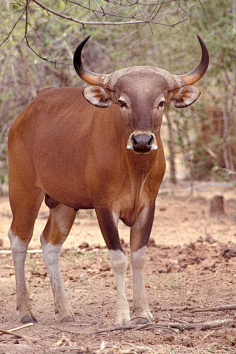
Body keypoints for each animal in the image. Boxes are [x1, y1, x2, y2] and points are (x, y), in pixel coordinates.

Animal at [8, 35, 209, 324]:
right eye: (123, 101)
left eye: (161, 102)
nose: (142, 141)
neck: (134, 172)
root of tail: (23, 116)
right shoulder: (104, 206)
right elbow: (119, 259)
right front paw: (123, 315)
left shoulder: (148, 206)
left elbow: (138, 256)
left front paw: (143, 311)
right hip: (23, 191)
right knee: (19, 239)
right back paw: (25, 310)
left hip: (63, 204)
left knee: (50, 244)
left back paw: (65, 310)